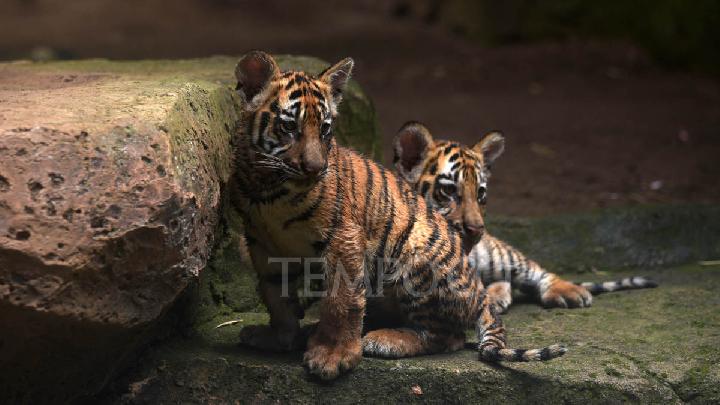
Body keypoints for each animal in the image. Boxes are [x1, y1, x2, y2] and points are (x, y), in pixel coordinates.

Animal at [229, 51, 565, 381]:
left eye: (325, 128)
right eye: (288, 127)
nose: (315, 168)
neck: (268, 188)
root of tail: (477, 290)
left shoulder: (343, 238)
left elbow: (341, 300)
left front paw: (333, 357)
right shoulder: (261, 244)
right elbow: (276, 297)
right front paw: (280, 337)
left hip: (414, 258)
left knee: (448, 335)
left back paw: (383, 340)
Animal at [392, 121, 657, 312]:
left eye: (481, 193)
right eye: (448, 190)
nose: (477, 229)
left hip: (497, 255)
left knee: (530, 269)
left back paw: (568, 292)